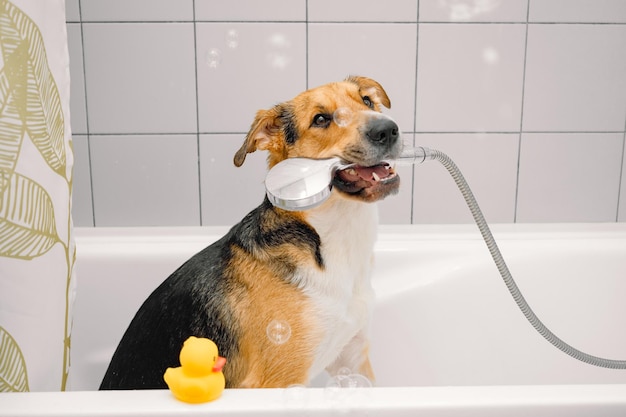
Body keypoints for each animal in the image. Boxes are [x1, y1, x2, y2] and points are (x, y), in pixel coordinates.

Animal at [97, 75, 400, 390]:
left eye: (366, 101)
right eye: (320, 119)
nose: (387, 130)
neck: (334, 238)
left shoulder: (352, 358)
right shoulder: (278, 380)